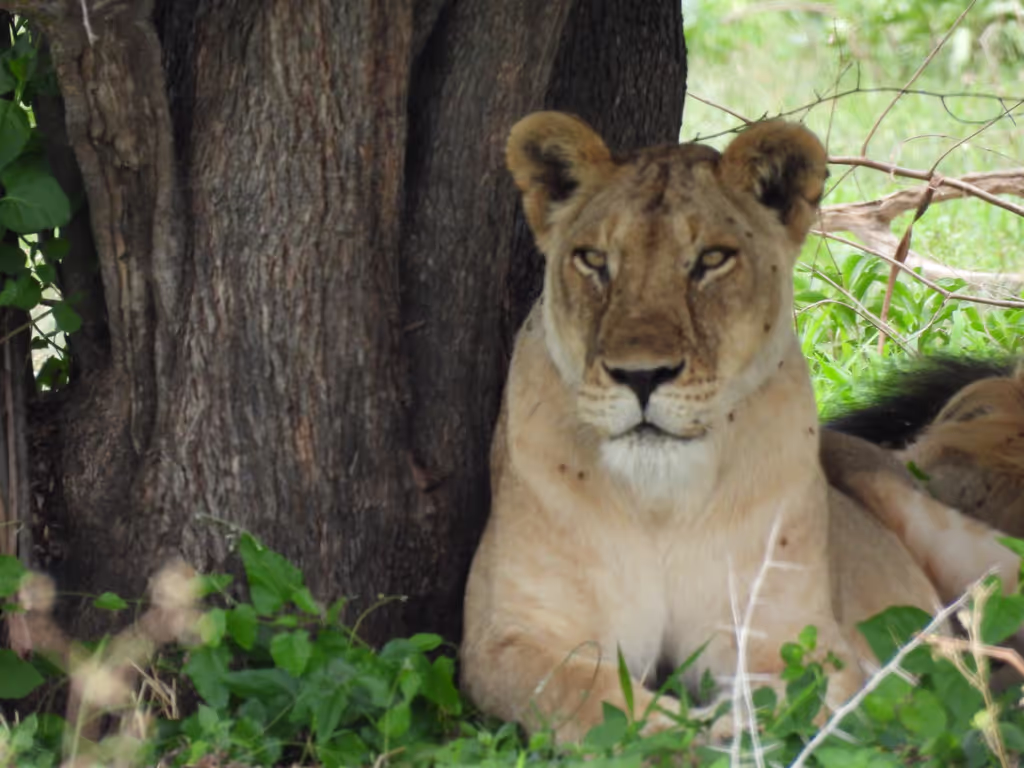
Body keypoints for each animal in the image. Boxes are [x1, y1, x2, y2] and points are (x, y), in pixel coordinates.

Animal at [459, 113, 1008, 743]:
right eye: (594, 260)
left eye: (712, 260)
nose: (641, 375)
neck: (659, 501)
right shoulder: (512, 635)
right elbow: (586, 701)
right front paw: (680, 733)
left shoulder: (791, 633)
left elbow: (794, 705)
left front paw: (728, 731)